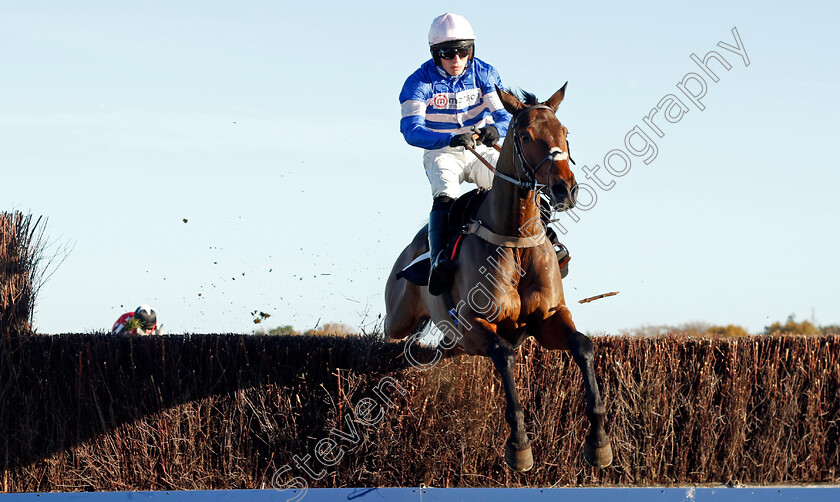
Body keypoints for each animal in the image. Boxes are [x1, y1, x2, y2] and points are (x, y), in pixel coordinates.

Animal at [384, 84, 612, 472]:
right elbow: (504, 357)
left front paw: (598, 442)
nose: (565, 189)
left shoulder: (548, 318)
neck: (515, 240)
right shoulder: (475, 324)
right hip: (400, 319)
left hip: (455, 342)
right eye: (525, 136)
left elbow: (583, 346)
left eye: (564, 133)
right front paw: (520, 446)